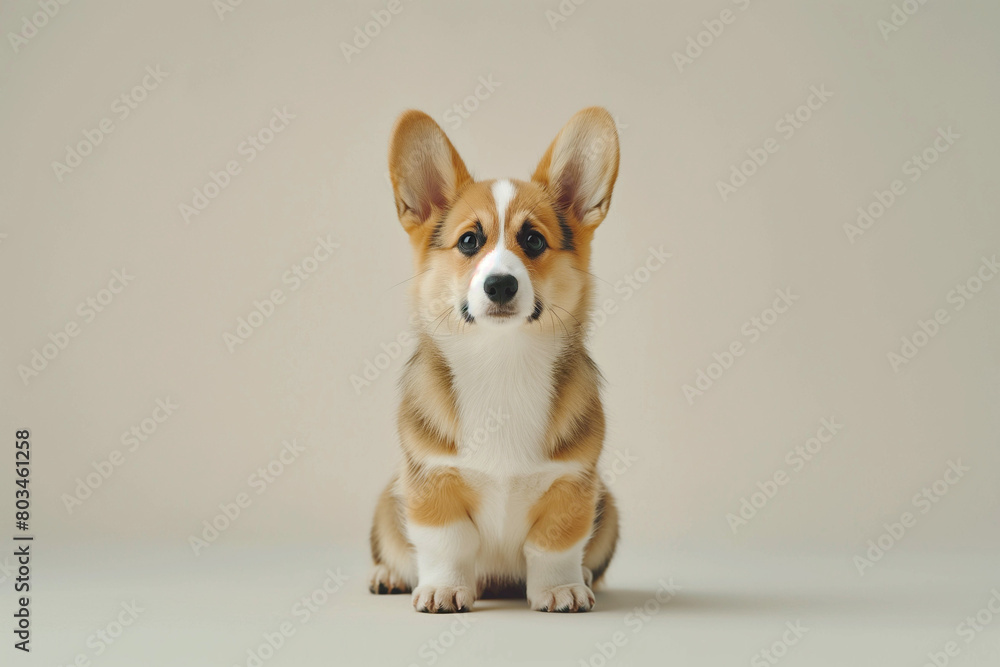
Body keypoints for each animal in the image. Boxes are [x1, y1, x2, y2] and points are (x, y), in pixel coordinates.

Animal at [370, 107, 616, 612]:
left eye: (534, 240)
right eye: (469, 241)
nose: (500, 284)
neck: (502, 362)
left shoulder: (573, 483)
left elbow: (553, 544)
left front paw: (560, 588)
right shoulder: (431, 478)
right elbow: (447, 542)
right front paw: (444, 588)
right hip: (387, 501)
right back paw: (389, 575)